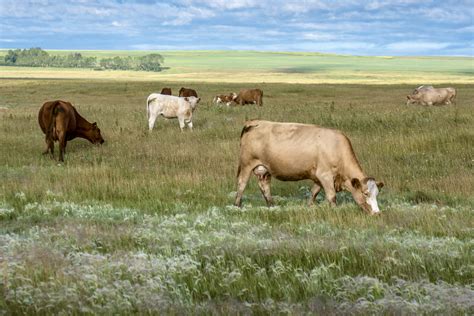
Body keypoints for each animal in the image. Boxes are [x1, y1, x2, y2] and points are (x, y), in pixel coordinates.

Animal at [235, 120, 384, 215]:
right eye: (366, 193)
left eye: (377, 193)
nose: (377, 213)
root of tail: (254, 122)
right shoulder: (325, 175)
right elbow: (332, 196)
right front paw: (335, 211)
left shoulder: (318, 178)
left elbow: (314, 193)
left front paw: (309, 207)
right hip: (247, 164)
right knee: (242, 184)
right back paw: (236, 206)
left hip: (264, 170)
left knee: (264, 186)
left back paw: (272, 206)